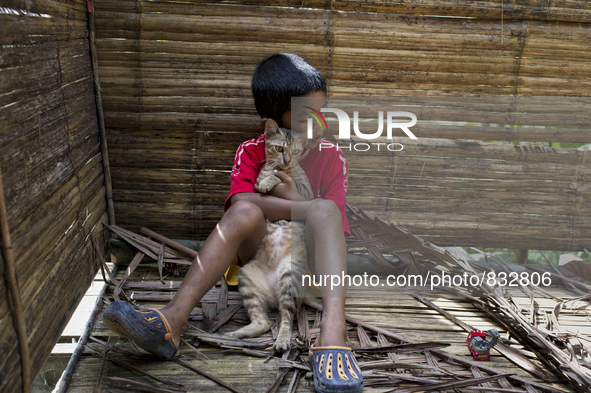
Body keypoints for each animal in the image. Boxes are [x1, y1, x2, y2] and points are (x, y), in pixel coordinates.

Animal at [228, 118, 314, 350]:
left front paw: (268, 182)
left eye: (295, 151)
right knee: (264, 322)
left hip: (290, 276)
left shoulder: (304, 191)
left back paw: (283, 340)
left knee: (287, 318)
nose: (286, 161)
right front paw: (265, 180)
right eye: (279, 148)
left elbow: (278, 181)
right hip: (246, 279)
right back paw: (237, 334)